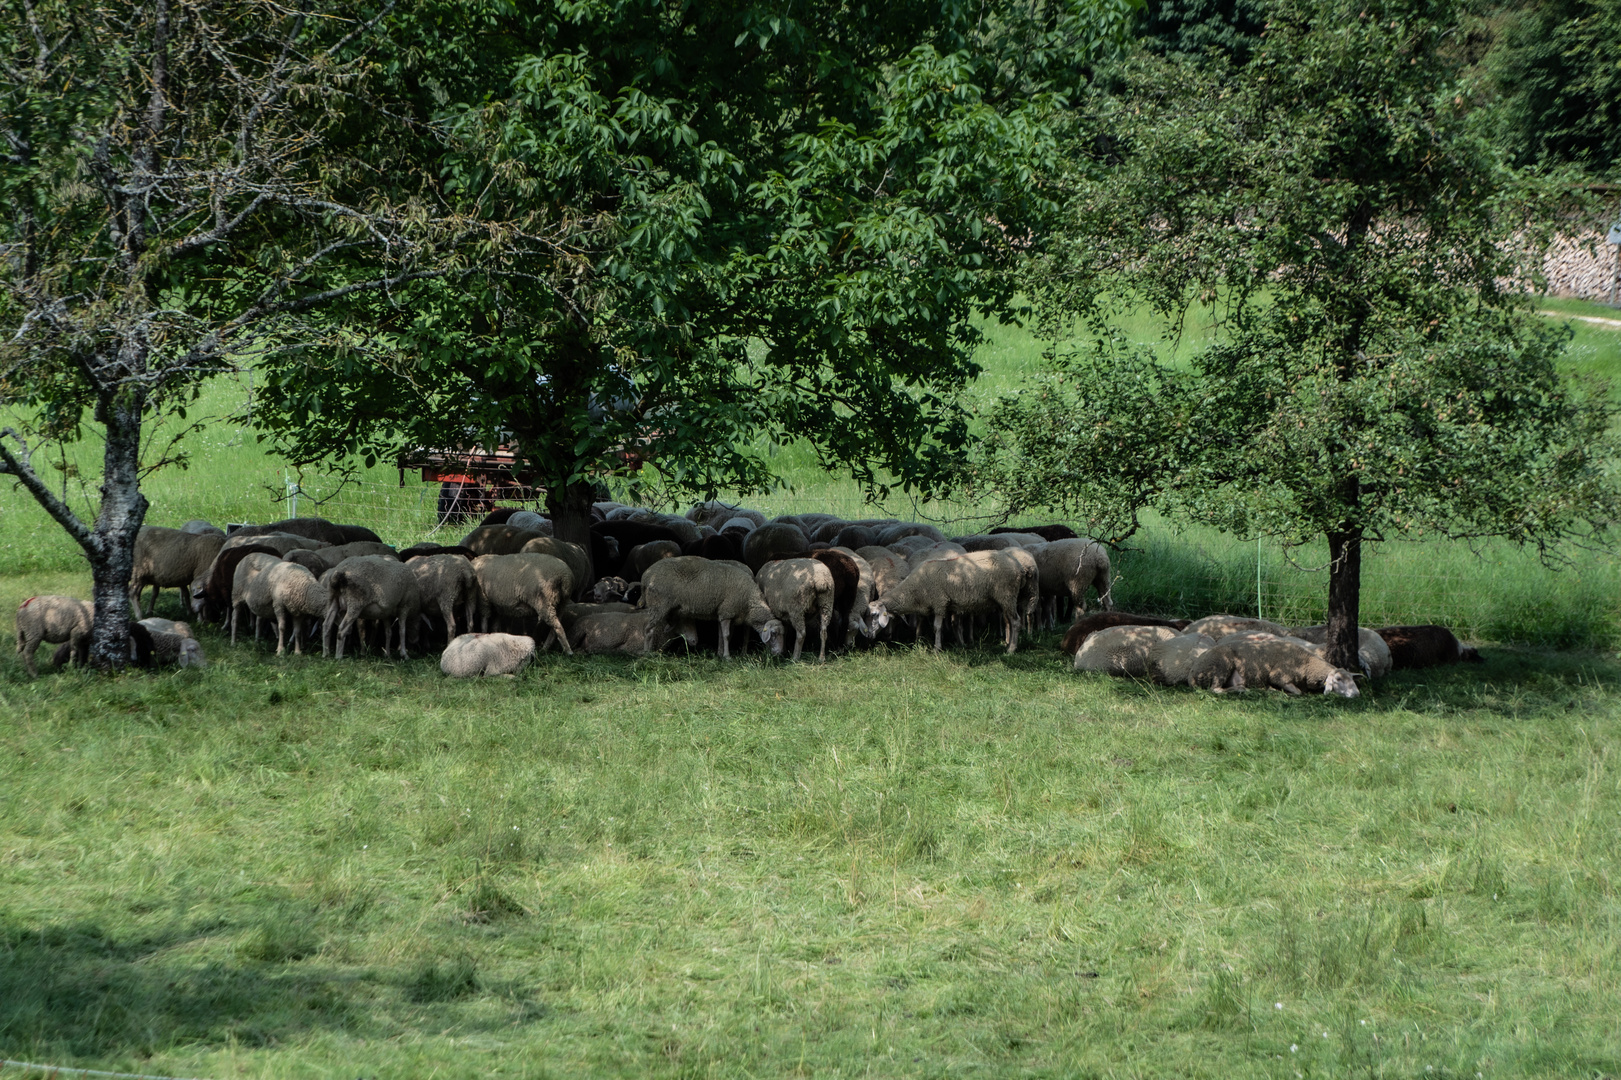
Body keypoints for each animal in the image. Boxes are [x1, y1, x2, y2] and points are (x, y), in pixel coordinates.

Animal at [638, 554, 784, 655]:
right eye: (774, 634)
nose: (779, 653)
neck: (749, 599)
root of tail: (646, 577)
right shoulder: (727, 611)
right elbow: (726, 636)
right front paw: (727, 657)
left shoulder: (721, 612)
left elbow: (721, 636)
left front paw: (719, 654)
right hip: (658, 605)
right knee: (648, 630)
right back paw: (646, 653)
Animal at [1186, 638, 1361, 697]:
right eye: (1338, 679)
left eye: (1352, 679)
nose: (1357, 694)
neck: (1306, 663)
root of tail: (1191, 674)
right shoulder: (1279, 675)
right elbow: (1298, 692)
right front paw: (1279, 691)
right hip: (1221, 665)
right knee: (1215, 689)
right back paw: (1242, 689)